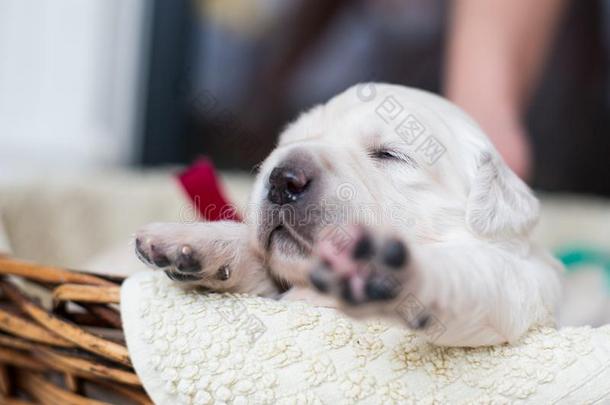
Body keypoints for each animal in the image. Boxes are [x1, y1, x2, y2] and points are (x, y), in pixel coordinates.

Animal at [134, 83, 560, 346]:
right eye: (288, 142)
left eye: (389, 154)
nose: (282, 179)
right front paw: (195, 242)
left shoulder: (514, 286)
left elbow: (472, 276)